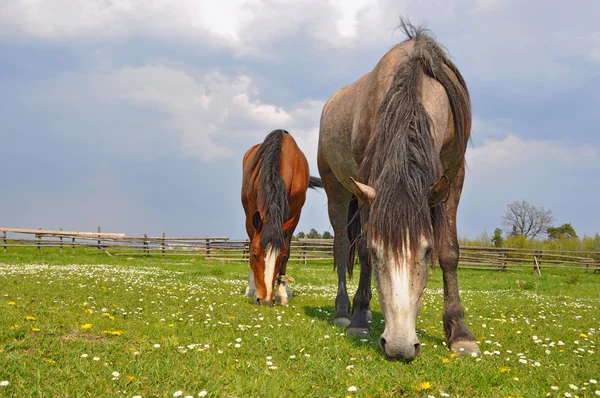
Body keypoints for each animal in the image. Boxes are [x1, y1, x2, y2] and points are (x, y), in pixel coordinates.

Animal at [241, 129, 322, 306]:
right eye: (255, 255)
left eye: (280, 257)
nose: (264, 299)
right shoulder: (251, 212)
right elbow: (251, 241)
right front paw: (252, 289)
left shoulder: (295, 214)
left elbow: (288, 248)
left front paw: (282, 293)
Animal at [316, 19, 480, 360]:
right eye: (381, 252)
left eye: (426, 251)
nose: (400, 346)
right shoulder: (367, 182)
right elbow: (363, 251)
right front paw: (359, 320)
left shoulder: (453, 176)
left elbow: (450, 252)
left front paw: (460, 333)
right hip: (336, 189)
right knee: (342, 245)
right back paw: (344, 312)